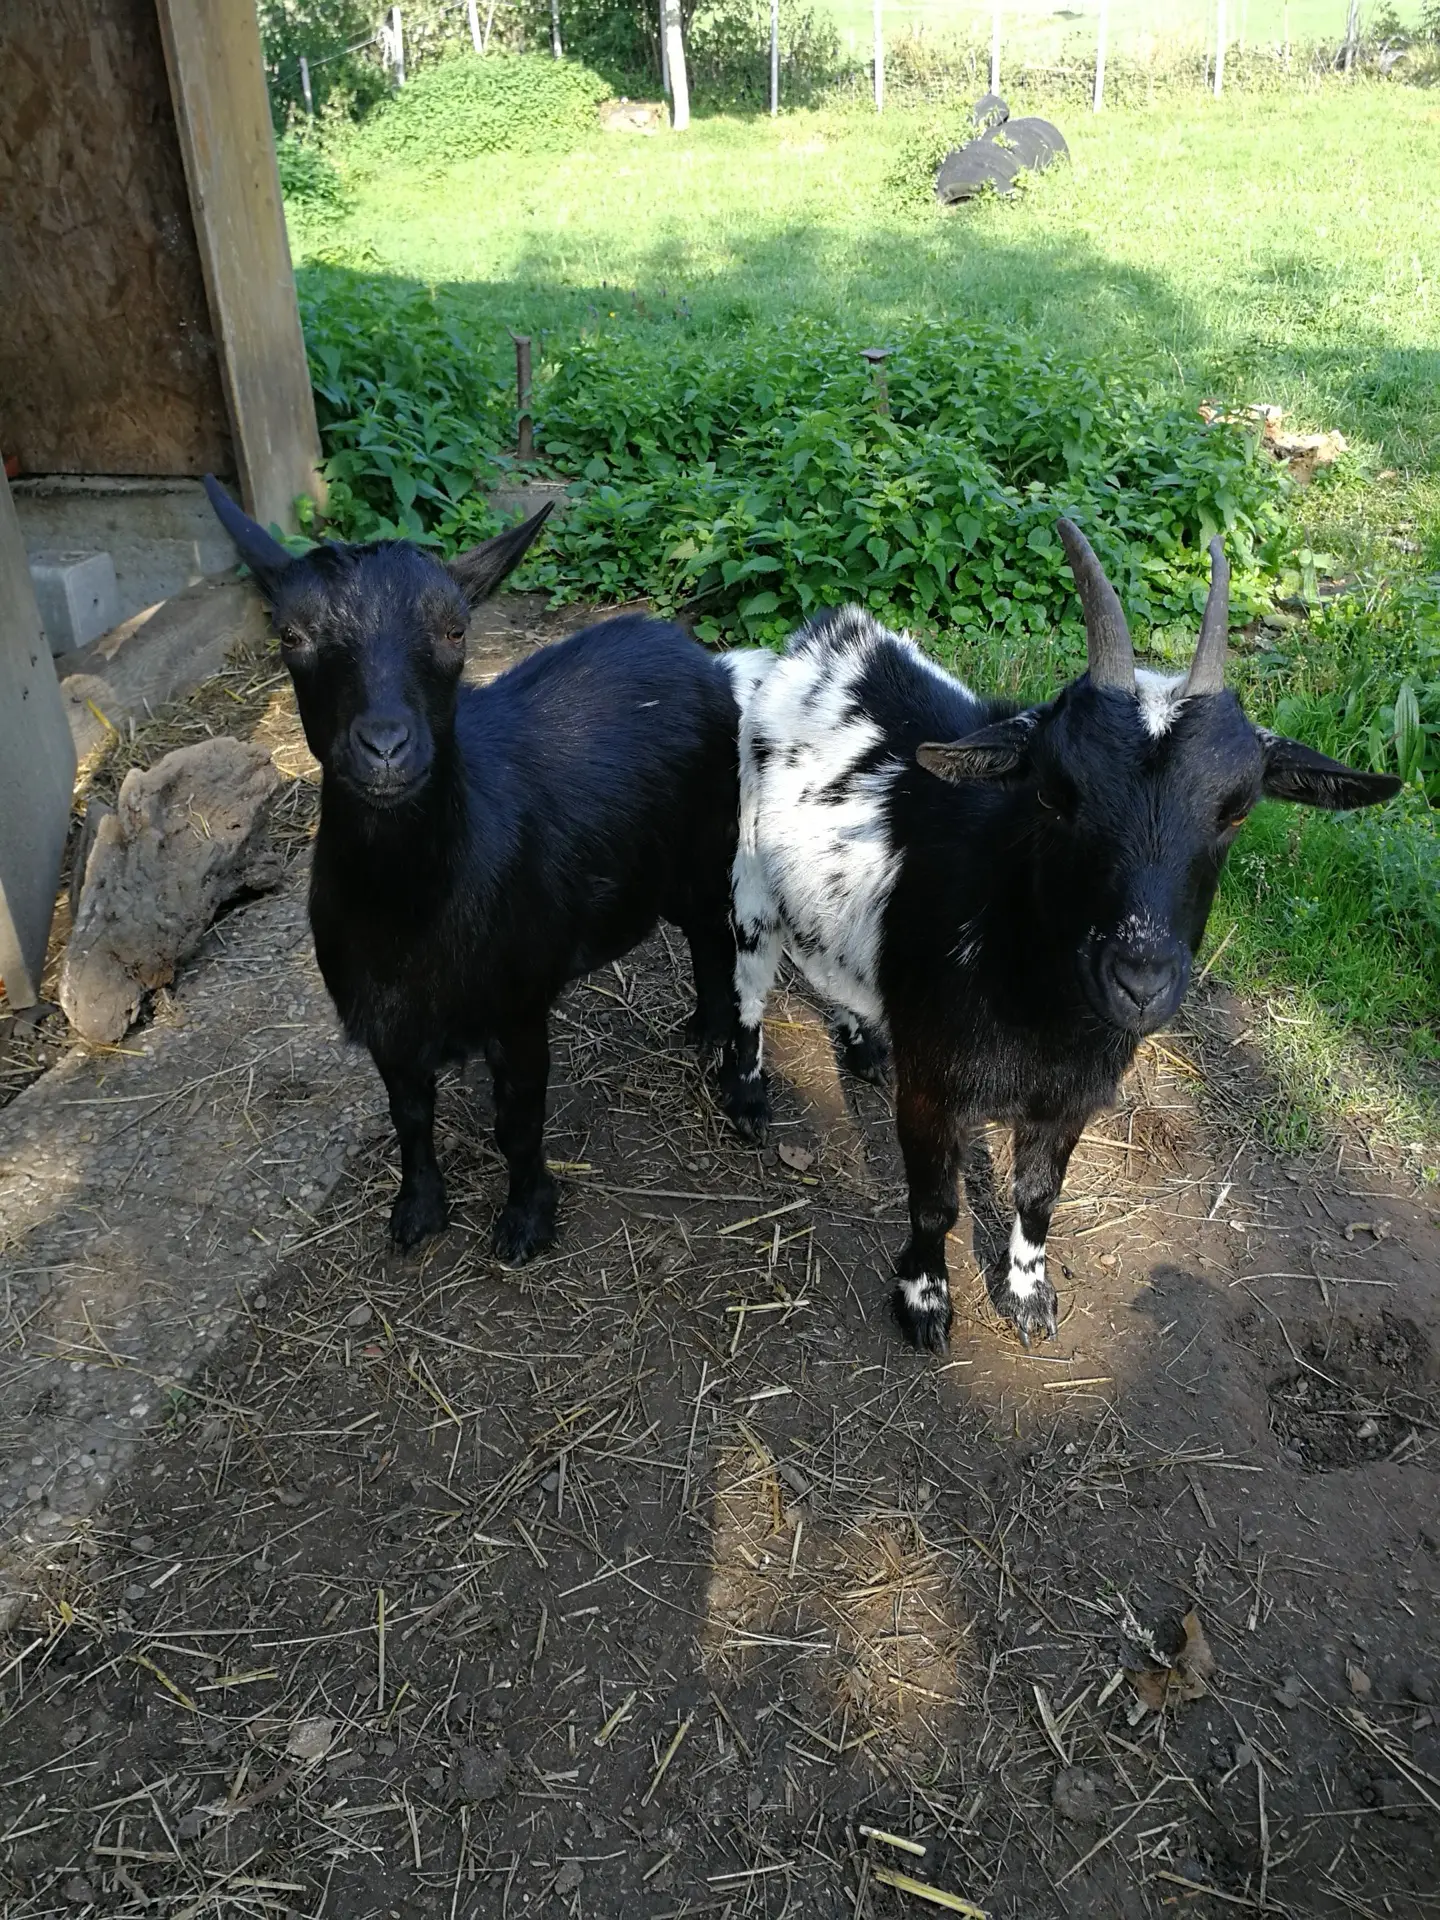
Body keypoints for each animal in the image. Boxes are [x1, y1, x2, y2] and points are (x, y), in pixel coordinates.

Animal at [204, 479, 764, 1262]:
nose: (385, 747)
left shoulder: (517, 1006)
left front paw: (526, 1221)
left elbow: (517, 1124)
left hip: (717, 838)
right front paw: (417, 1210)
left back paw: (744, 1095)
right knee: (703, 935)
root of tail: (699, 657)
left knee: (740, 943)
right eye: (291, 635)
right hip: (667, 865)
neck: (409, 915)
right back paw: (704, 1029)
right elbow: (409, 1115)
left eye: (456, 632)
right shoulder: (387, 1023)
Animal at [729, 522, 1400, 1350]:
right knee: (746, 985)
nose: (1140, 982)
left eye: (1239, 808)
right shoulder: (934, 1084)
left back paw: (862, 1045)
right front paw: (924, 1302)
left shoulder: (1072, 1097)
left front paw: (1028, 1299)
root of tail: (829, 631)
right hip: (749, 883)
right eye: (1054, 791)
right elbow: (934, 1201)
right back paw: (748, 1099)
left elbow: (1040, 1197)